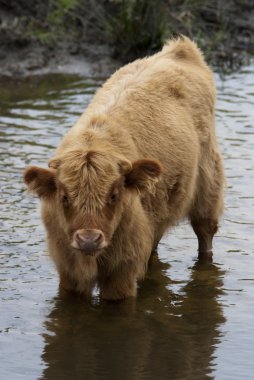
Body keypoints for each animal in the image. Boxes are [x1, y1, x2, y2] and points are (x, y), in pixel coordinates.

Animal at [24, 37, 224, 302]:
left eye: (114, 195)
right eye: (64, 197)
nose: (89, 239)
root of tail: (180, 48)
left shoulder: (121, 275)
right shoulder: (68, 271)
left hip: (208, 185)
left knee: (205, 233)